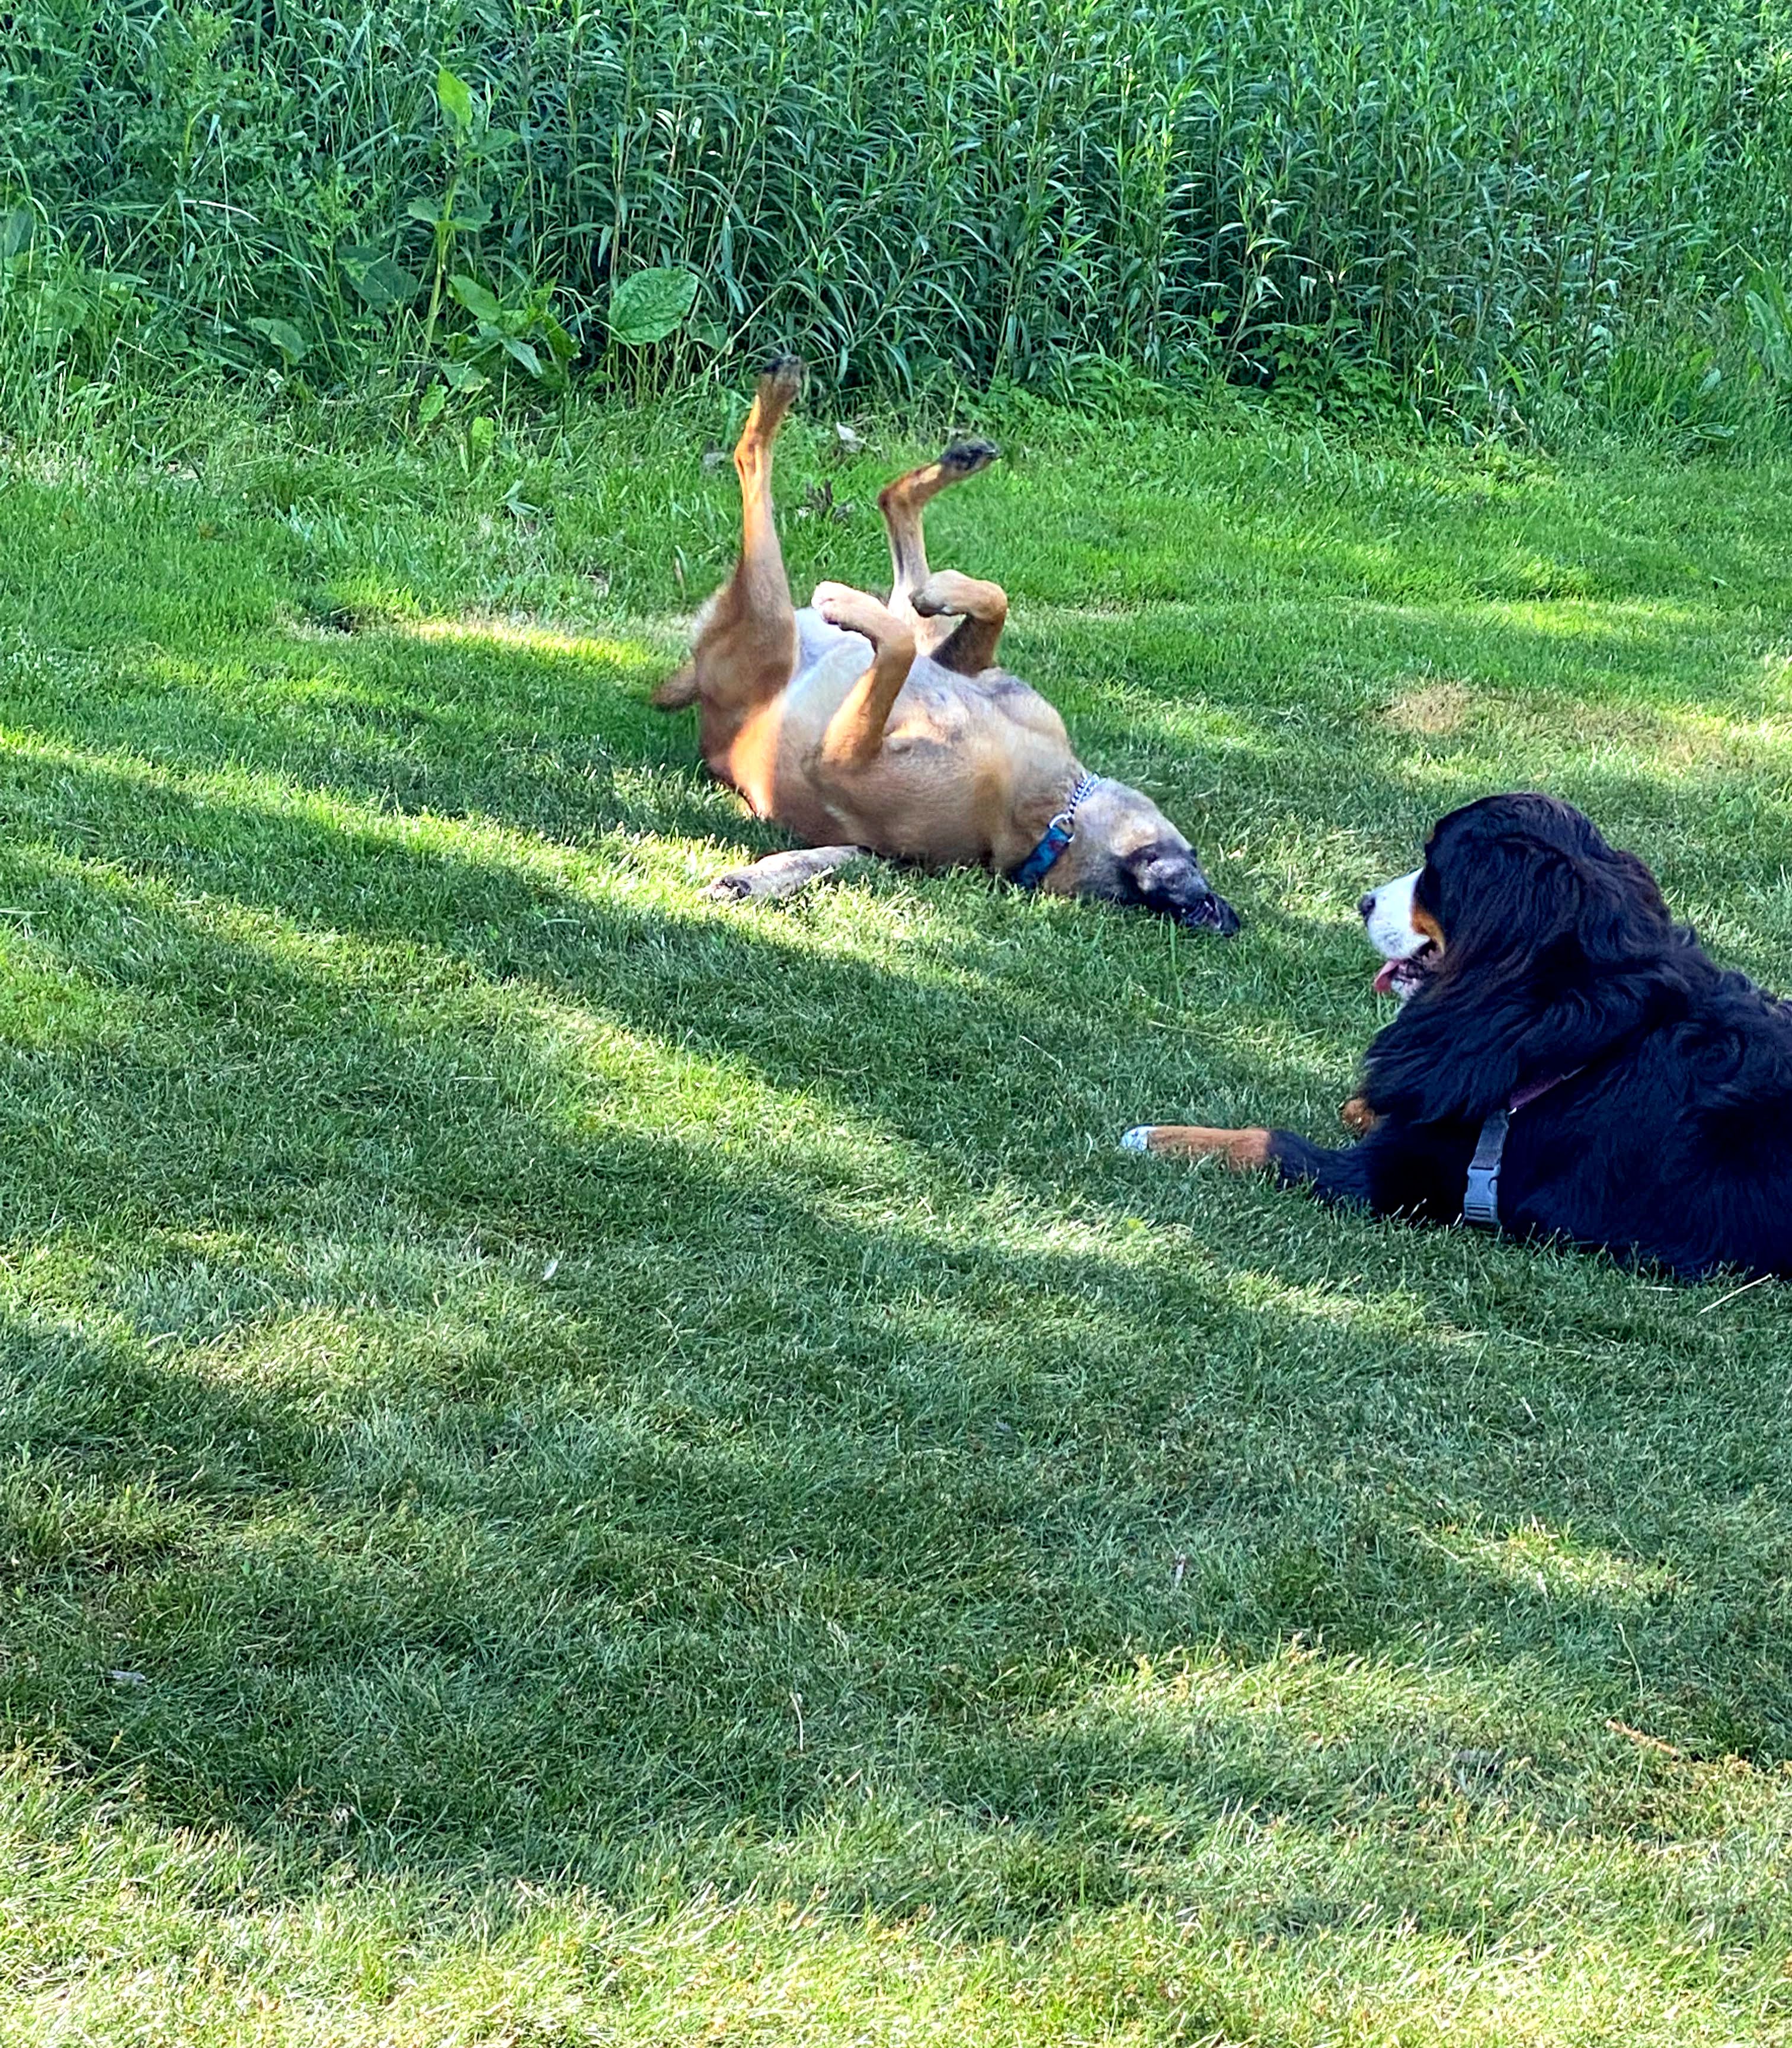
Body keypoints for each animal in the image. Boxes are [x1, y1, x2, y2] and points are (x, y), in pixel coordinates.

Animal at [1122, 786, 1792, 1278]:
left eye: (1434, 870)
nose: (1363, 902)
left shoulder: (1392, 1179)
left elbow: (1262, 1141)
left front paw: (1156, 1137)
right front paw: (1370, 1102)